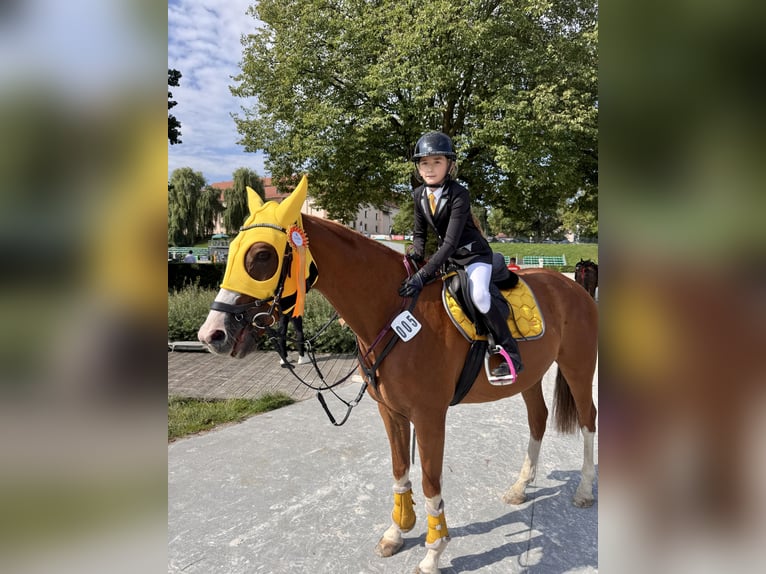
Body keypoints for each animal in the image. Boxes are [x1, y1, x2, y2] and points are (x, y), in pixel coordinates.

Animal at [198, 179, 598, 574]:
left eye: (263, 255)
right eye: (231, 251)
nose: (211, 334)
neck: (392, 311)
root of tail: (571, 284)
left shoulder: (429, 416)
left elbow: (430, 481)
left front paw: (433, 552)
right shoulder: (390, 411)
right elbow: (400, 469)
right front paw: (397, 531)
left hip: (578, 367)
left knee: (588, 420)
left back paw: (584, 490)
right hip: (530, 377)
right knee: (538, 419)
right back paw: (520, 487)